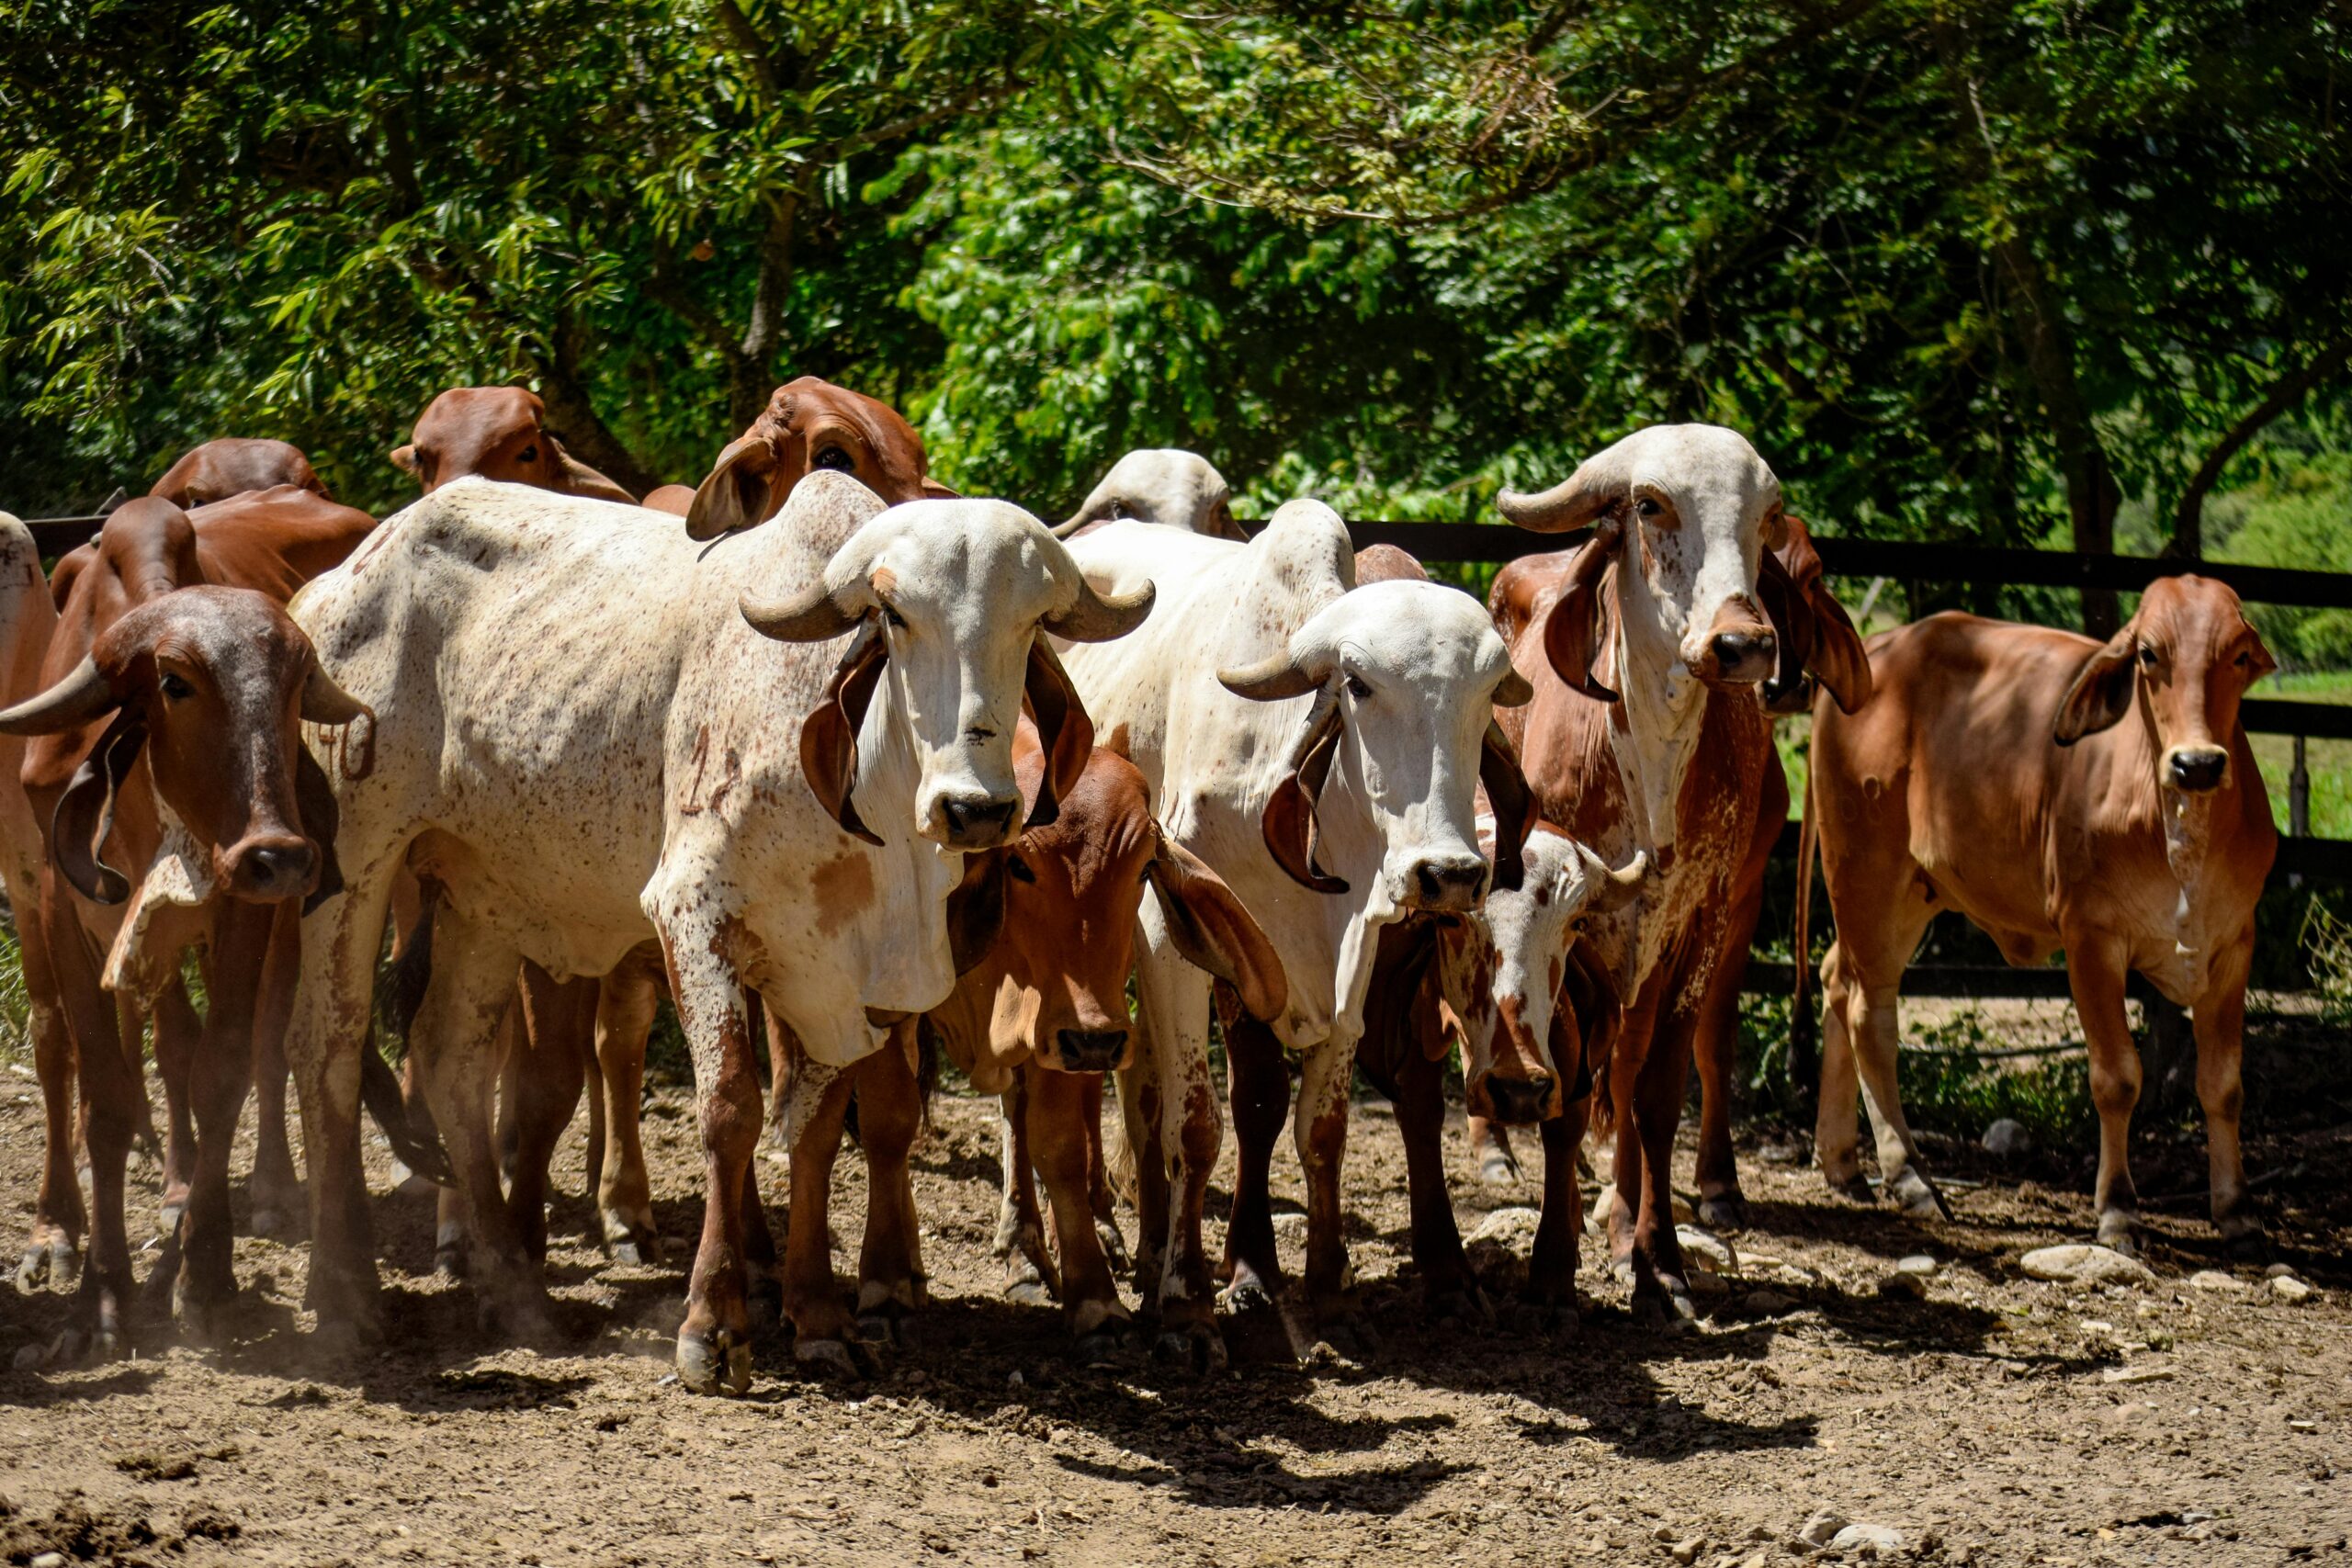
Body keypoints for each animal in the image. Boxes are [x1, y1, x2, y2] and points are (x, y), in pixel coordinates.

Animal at [3, 494, 373, 1361]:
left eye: (297, 685)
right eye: (175, 682)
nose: (279, 855)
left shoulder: (243, 911)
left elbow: (222, 1072)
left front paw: (205, 1273)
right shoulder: (59, 911)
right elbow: (108, 1094)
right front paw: (102, 1295)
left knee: (269, 1041)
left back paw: (273, 1191)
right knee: (123, 1046)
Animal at [279, 473, 1152, 1393]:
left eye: (1033, 621)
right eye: (895, 614)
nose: (975, 808)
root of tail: (339, 581)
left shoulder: (837, 982)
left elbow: (810, 1129)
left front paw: (819, 1317)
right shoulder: (693, 917)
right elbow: (731, 1111)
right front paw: (714, 1322)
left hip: (480, 887)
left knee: (453, 1058)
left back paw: (515, 1290)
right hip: (356, 862)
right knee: (327, 1045)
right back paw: (344, 1295)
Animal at [1054, 502, 1530, 1366]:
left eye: (1484, 698)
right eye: (1359, 684)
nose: (1449, 873)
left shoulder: (1353, 962)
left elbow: (1322, 1129)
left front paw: (1330, 1295)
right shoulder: (1173, 941)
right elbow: (1198, 1124)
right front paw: (1188, 1309)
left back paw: (1148, 1245)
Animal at [1488, 426, 1870, 1317]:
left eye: (1765, 515)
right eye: (1652, 502)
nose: (1744, 644)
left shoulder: (1703, 918)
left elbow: (1658, 1091)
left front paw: (1658, 1259)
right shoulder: (1572, 926)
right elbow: (1568, 1093)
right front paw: (1553, 1262)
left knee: (1630, 1068)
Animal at [1803, 575, 2276, 1252]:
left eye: (2238, 654)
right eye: (2149, 654)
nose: (2198, 764)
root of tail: (1875, 650)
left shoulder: (2234, 942)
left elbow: (2223, 1084)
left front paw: (2235, 1208)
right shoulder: (2090, 936)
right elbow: (2117, 1078)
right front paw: (2118, 1208)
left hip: (1911, 892)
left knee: (1837, 980)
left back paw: (1842, 1161)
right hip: (1865, 873)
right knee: (1871, 1014)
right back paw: (1910, 1175)